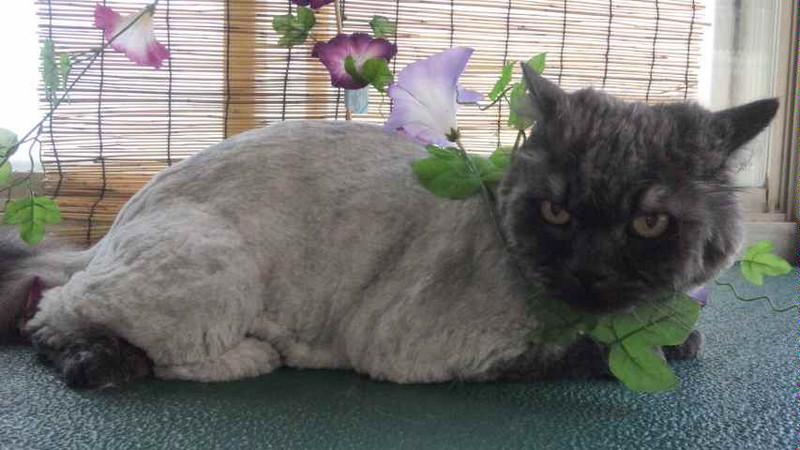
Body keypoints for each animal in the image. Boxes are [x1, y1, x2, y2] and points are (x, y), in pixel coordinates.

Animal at [0, 64, 778, 388]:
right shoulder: (430, 348)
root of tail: (117, 224)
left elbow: (671, 334)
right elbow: (576, 353)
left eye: (647, 223)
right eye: (557, 212)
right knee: (66, 319)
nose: (590, 270)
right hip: (218, 279)